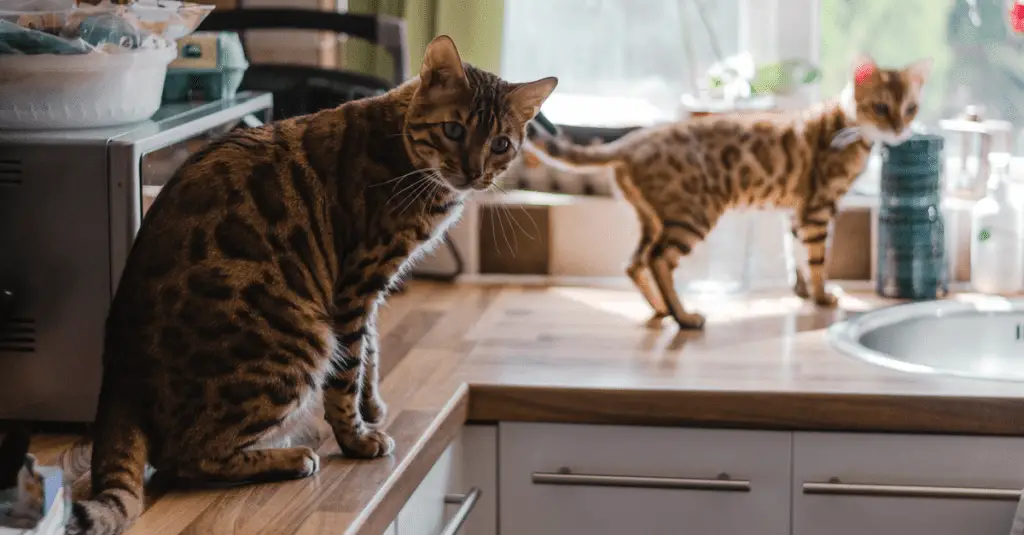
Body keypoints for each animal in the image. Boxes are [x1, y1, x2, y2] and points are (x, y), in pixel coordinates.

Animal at [61, 35, 561, 528]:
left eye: (500, 143)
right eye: (454, 130)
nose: (475, 172)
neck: (404, 152)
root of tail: (119, 376)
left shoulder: (364, 290)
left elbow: (370, 350)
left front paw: (372, 406)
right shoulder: (356, 283)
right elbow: (346, 372)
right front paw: (357, 438)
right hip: (299, 339)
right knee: (184, 458)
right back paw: (290, 457)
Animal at [524, 55, 933, 327]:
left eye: (911, 108)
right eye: (881, 107)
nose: (900, 130)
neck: (846, 125)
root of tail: (633, 139)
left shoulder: (796, 211)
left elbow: (796, 255)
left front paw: (802, 292)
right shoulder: (818, 207)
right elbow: (817, 258)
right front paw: (821, 296)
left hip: (653, 217)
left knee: (635, 262)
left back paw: (661, 309)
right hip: (693, 214)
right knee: (658, 259)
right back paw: (684, 316)